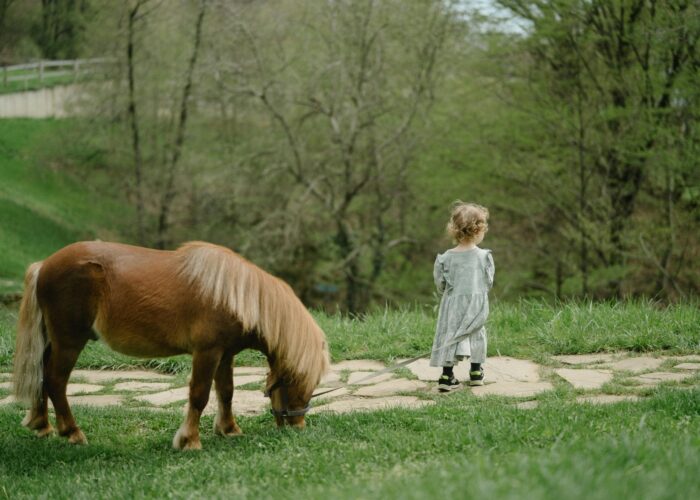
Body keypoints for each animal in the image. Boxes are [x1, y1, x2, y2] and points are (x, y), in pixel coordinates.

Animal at [10, 241, 328, 450]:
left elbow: (226, 392)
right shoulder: (207, 353)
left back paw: (42, 424)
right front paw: (189, 440)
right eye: (298, 382)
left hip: (53, 342)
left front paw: (229, 429)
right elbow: (199, 395)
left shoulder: (225, 355)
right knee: (55, 381)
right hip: (69, 342)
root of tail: (44, 265)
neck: (234, 294)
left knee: (41, 375)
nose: (298, 424)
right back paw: (72, 432)